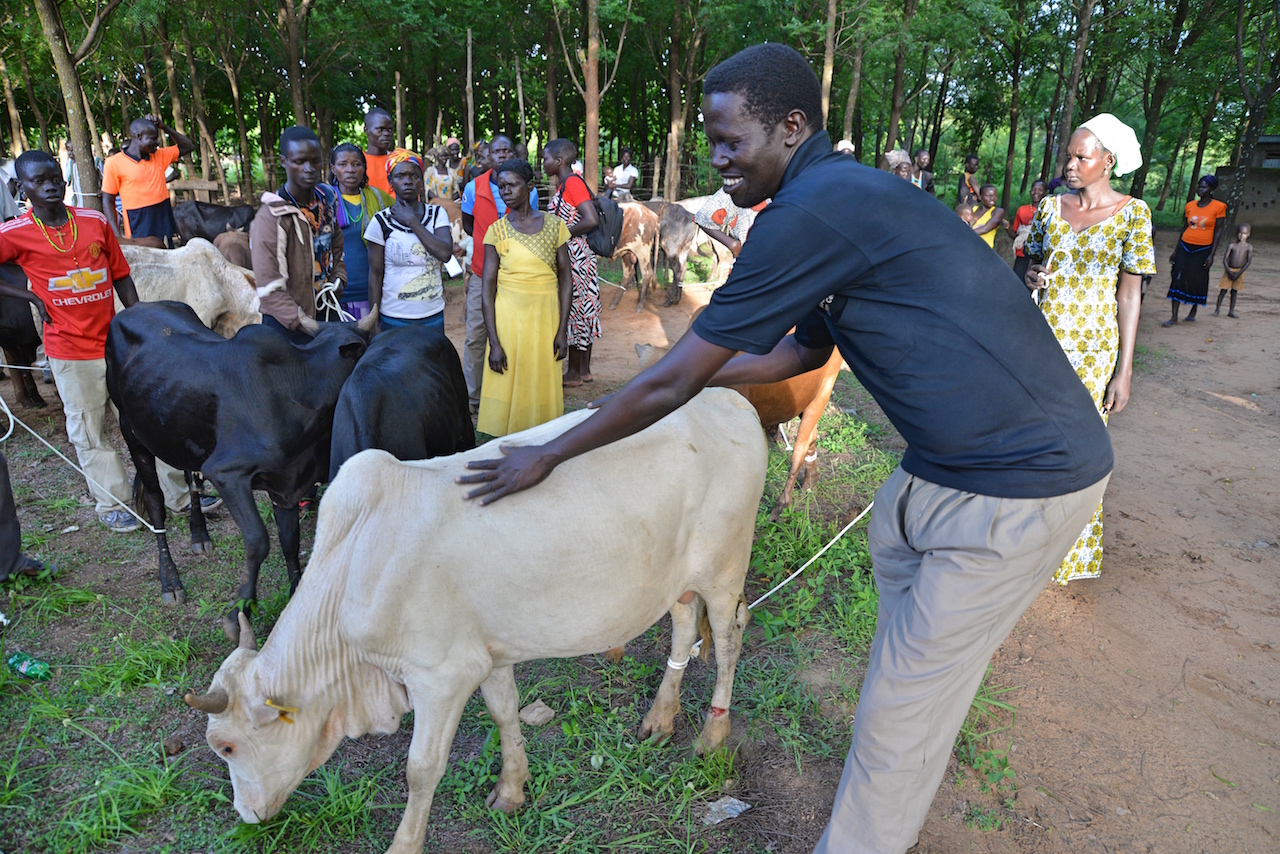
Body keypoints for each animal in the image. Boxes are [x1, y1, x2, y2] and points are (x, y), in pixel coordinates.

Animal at [105, 300, 376, 640]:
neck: (299, 386)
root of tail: (136, 306)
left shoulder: (287, 485)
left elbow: (290, 542)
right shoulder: (227, 473)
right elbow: (259, 540)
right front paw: (238, 614)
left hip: (180, 433)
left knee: (191, 481)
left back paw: (199, 535)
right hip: (132, 432)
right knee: (155, 502)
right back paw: (170, 581)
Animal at [185, 389, 762, 854]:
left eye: (227, 747)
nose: (246, 814)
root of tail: (729, 398)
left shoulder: (440, 675)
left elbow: (421, 769)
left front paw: (405, 844)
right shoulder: (487, 652)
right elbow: (505, 714)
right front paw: (512, 790)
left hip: (724, 570)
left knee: (730, 639)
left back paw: (713, 734)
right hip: (678, 580)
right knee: (684, 628)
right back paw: (660, 718)